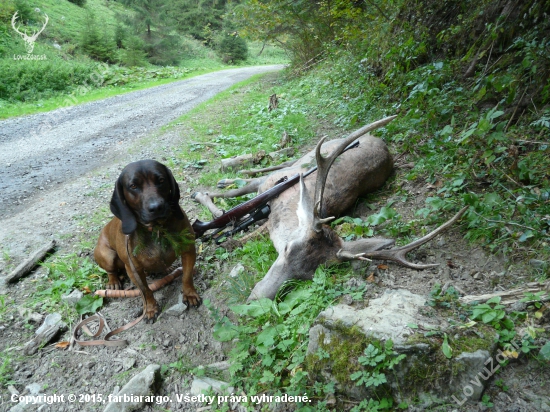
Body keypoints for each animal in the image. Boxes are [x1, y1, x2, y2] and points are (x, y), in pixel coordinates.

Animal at [95, 159, 203, 320]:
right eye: (133, 186)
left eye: (161, 180)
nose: (156, 207)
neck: (156, 229)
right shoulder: (133, 270)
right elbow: (145, 291)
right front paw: (150, 309)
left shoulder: (188, 250)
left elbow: (187, 276)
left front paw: (189, 294)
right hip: (108, 255)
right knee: (111, 270)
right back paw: (113, 281)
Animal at [192, 116, 468, 300]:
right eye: (286, 249)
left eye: (306, 276)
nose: (255, 300)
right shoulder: (269, 186)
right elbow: (234, 197)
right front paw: (207, 203)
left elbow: (237, 232)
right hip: (309, 154)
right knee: (280, 163)